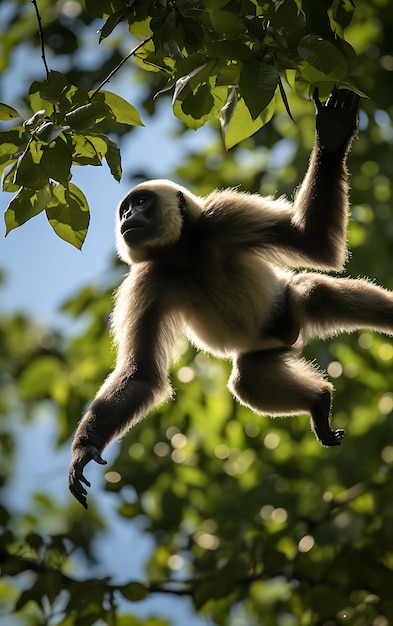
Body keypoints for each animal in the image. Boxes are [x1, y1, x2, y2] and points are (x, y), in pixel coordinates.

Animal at [69, 86, 390, 508]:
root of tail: (287, 337)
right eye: (125, 209)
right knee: (247, 378)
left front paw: (333, 135)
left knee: (313, 292)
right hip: (267, 347)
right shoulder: (145, 283)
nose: (126, 218)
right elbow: (141, 376)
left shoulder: (224, 215)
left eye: (140, 204)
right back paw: (319, 403)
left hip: (284, 310)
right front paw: (85, 449)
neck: (184, 254)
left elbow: (315, 244)